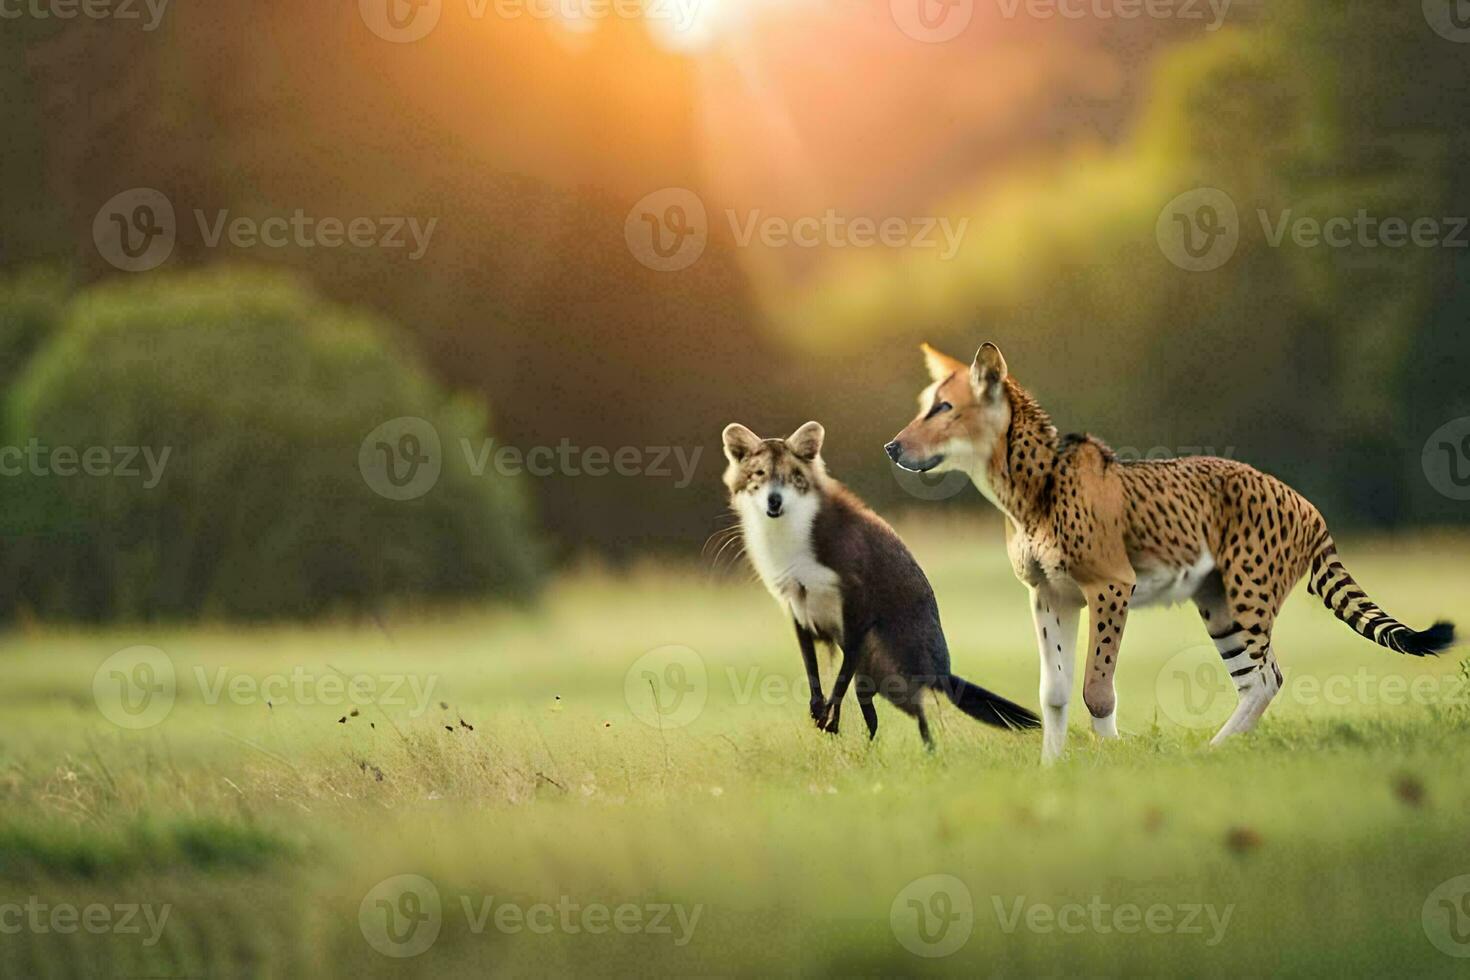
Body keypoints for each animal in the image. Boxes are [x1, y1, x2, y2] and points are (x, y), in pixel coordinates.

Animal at [717, 417, 1040, 746]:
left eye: (794, 476)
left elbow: (841, 675)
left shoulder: (857, 603)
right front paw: (819, 710)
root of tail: (943, 672)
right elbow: (812, 668)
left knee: (921, 721)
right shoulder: (797, 606)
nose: (774, 501)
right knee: (875, 717)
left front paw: (830, 716)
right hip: (875, 681)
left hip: (889, 666)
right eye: (759, 474)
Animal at [887, 340, 1452, 764]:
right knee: (1255, 681)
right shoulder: (1050, 595)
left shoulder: (1111, 586)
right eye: (925, 403)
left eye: (944, 408)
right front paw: (1052, 768)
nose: (893, 447)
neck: (1029, 486)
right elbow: (1055, 692)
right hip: (1219, 605)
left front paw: (1113, 760)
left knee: (1267, 677)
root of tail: (1302, 501)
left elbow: (1097, 688)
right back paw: (1222, 750)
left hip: (1248, 595)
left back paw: (1214, 751)